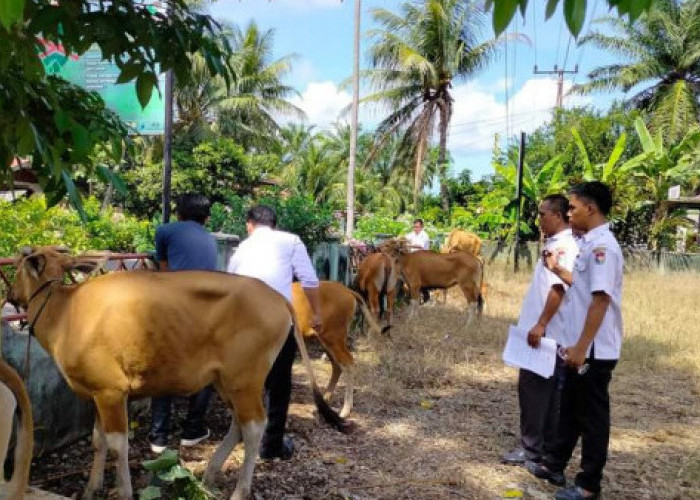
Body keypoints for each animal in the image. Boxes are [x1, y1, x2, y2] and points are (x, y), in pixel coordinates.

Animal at [5, 247, 344, 500]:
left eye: (19, 267)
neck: (65, 312)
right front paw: (91, 488)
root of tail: (277, 297)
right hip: (226, 381)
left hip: (243, 380)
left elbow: (117, 444)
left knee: (254, 426)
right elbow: (98, 441)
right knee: (240, 423)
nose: (10, 296)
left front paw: (123, 491)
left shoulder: (112, 391)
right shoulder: (99, 393)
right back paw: (210, 475)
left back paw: (240, 489)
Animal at [292, 282, 382, 418]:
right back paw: (326, 398)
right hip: (326, 340)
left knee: (349, 362)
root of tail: (348, 291)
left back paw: (345, 409)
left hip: (333, 338)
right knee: (337, 365)